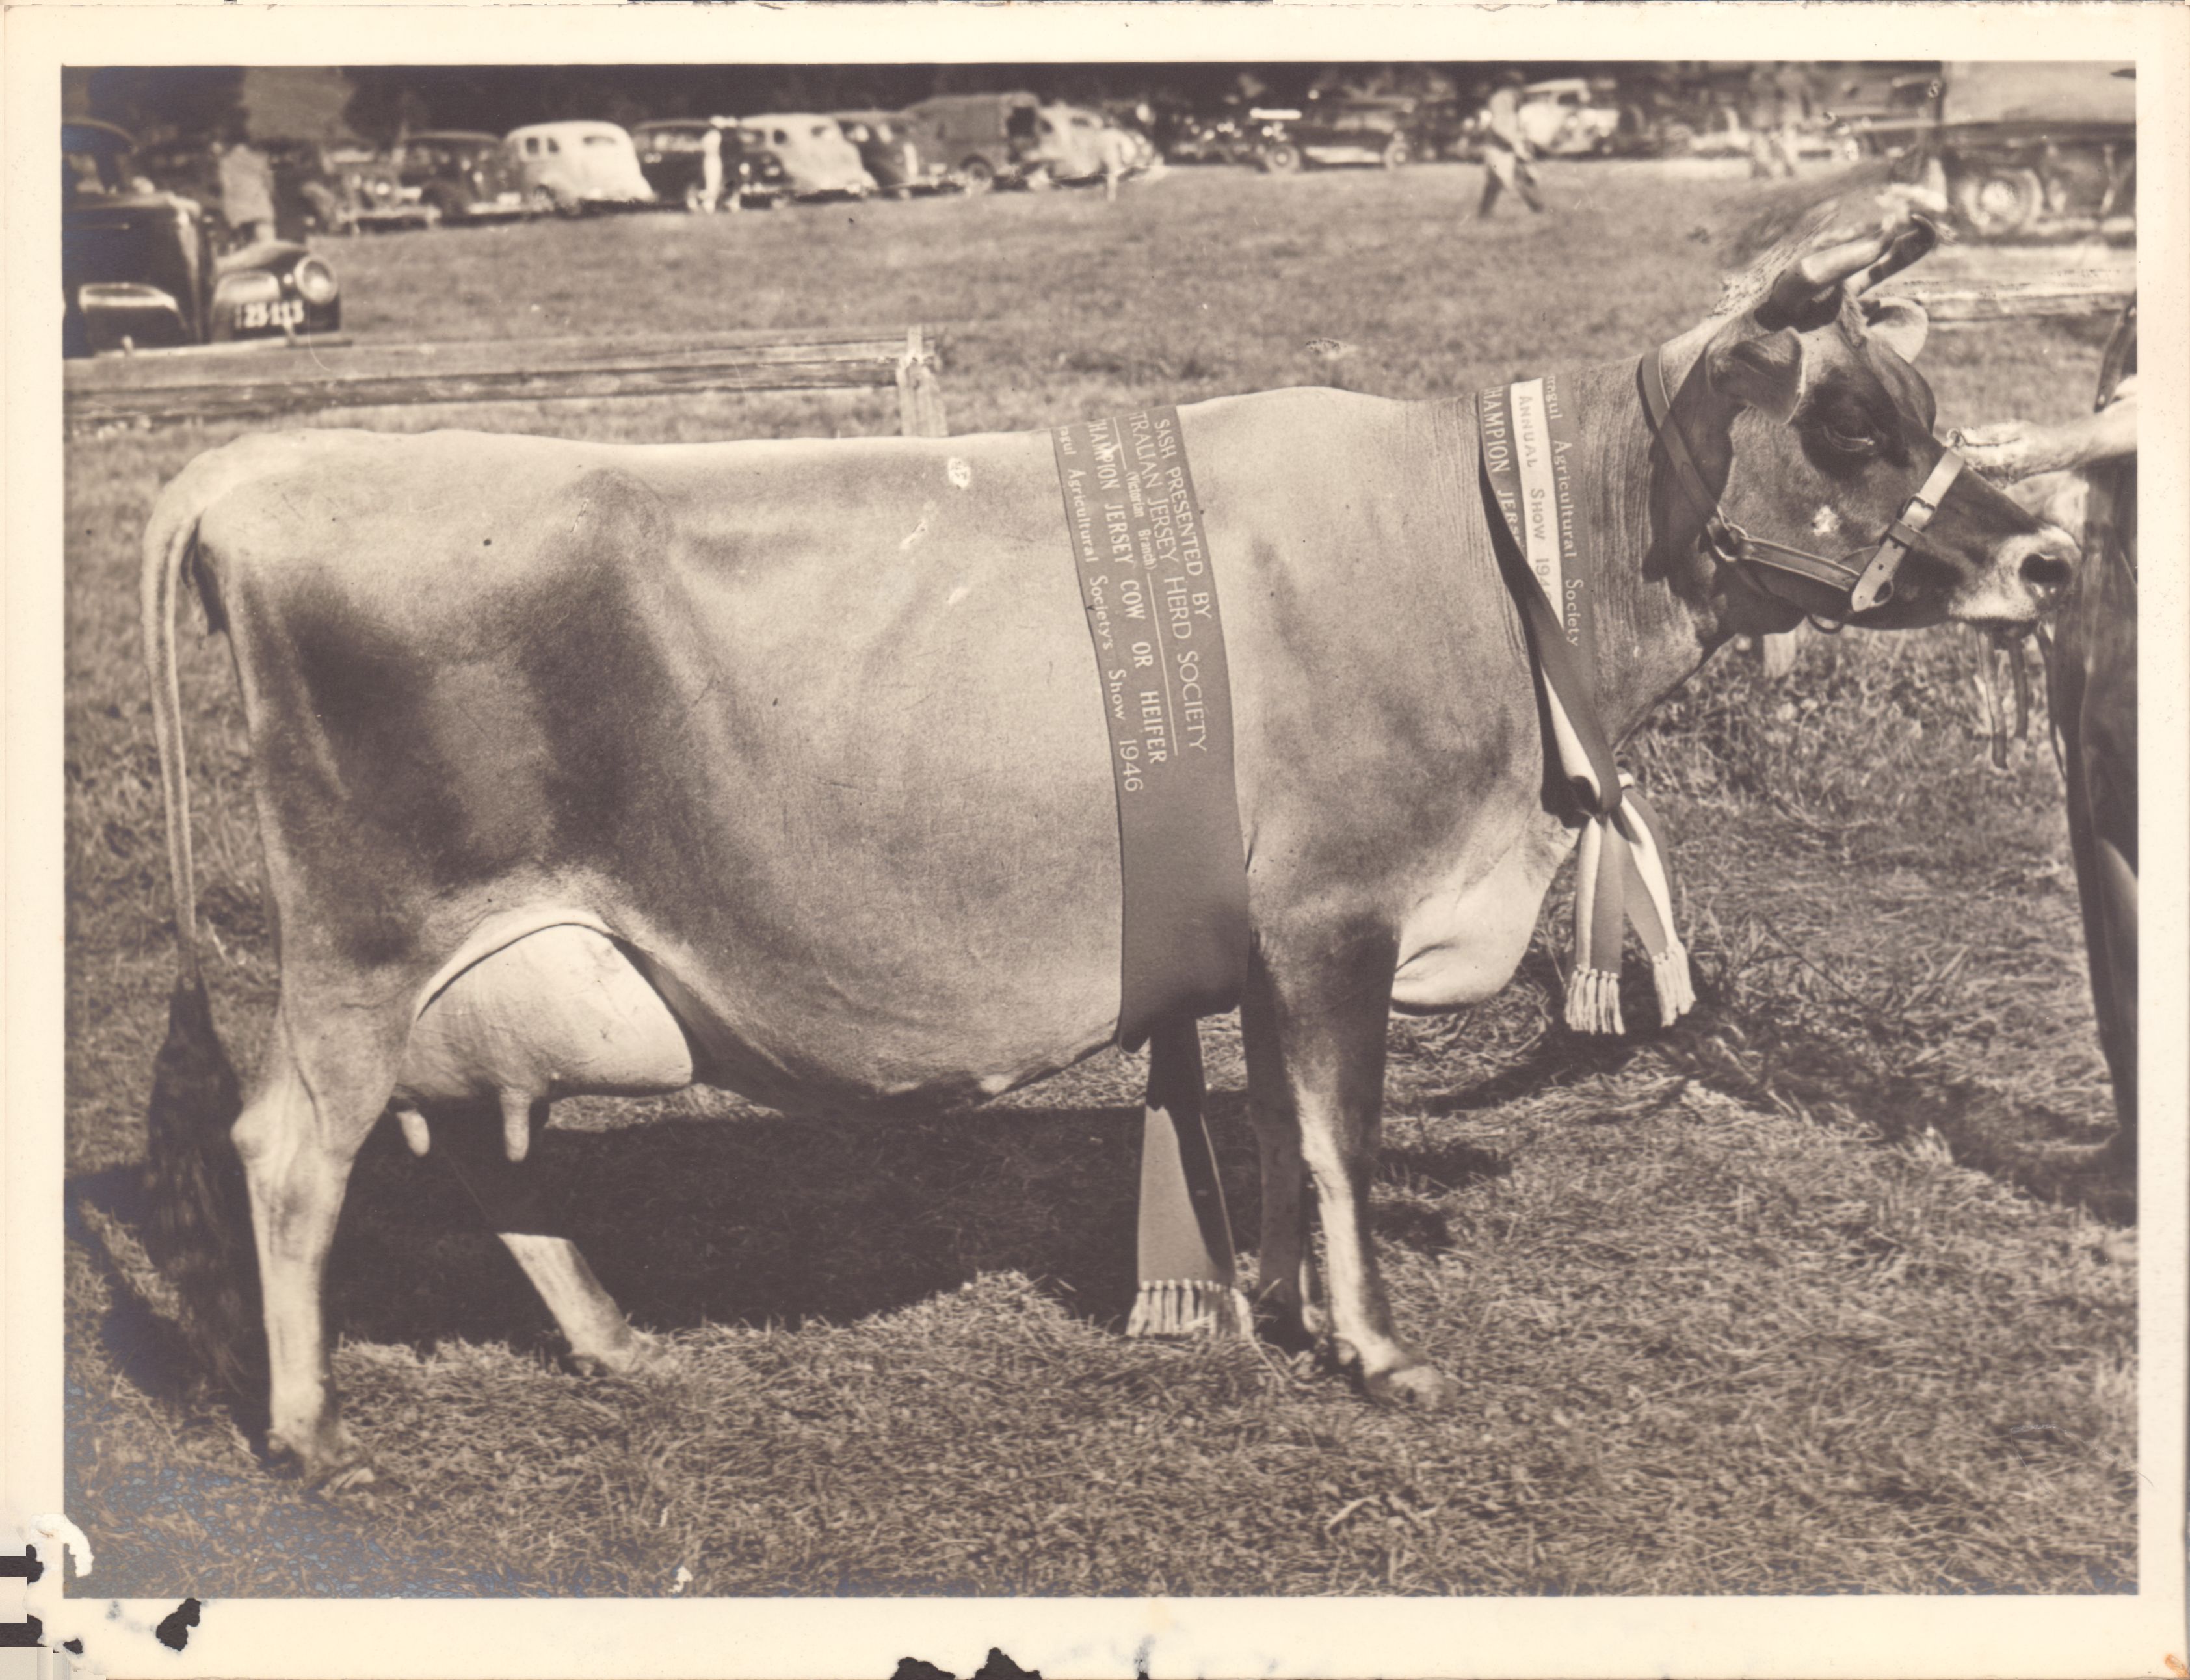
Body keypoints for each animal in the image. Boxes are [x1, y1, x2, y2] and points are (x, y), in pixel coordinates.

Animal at [142, 201, 2076, 1485]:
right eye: (1849, 420)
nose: (2052, 554)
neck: (1503, 563)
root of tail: (258, 473)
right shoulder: (1341, 913)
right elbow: (1335, 1135)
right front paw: (1380, 1352)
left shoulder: (1279, 938)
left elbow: (1277, 1130)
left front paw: (1296, 1315)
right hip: (366, 938)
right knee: (292, 1147)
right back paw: (302, 1425)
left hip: (470, 963)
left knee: (466, 1143)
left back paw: (614, 1340)